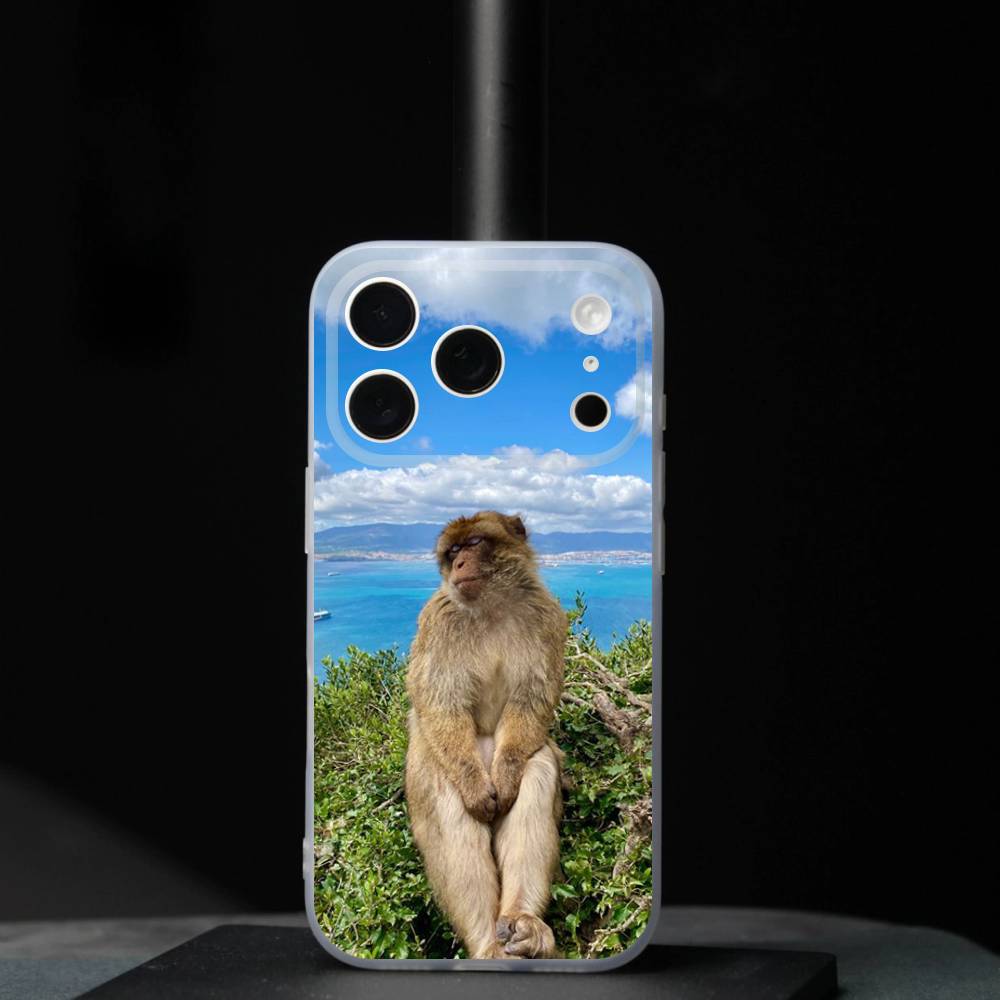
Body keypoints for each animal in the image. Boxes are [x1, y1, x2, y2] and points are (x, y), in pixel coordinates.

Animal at [404, 511, 567, 959]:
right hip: (455, 764)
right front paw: (476, 793)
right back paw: (486, 945)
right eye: (453, 552)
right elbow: (441, 703)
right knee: (444, 790)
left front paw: (509, 779)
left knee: (538, 768)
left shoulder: (546, 616)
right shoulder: (439, 621)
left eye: (475, 542)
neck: (492, 607)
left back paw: (522, 926)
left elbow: (531, 701)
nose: (460, 564)